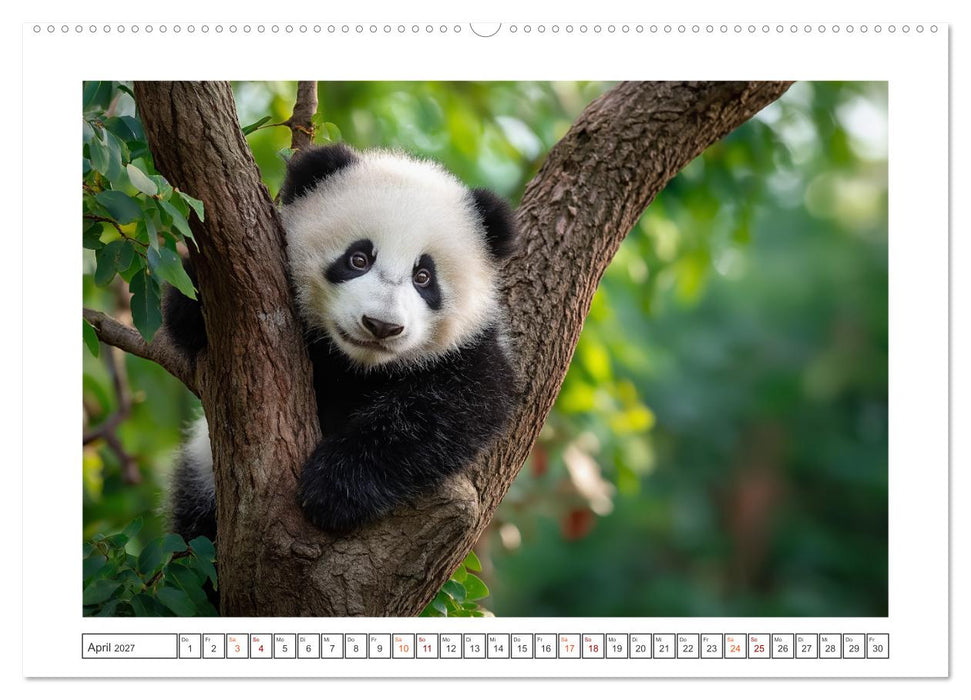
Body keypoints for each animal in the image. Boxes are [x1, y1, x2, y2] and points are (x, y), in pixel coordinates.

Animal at [165, 143, 519, 539]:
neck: (356, 365)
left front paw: (335, 489)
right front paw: (195, 300)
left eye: (424, 276)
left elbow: (453, 408)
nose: (381, 325)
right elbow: (182, 318)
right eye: (358, 258)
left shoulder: (472, 350)